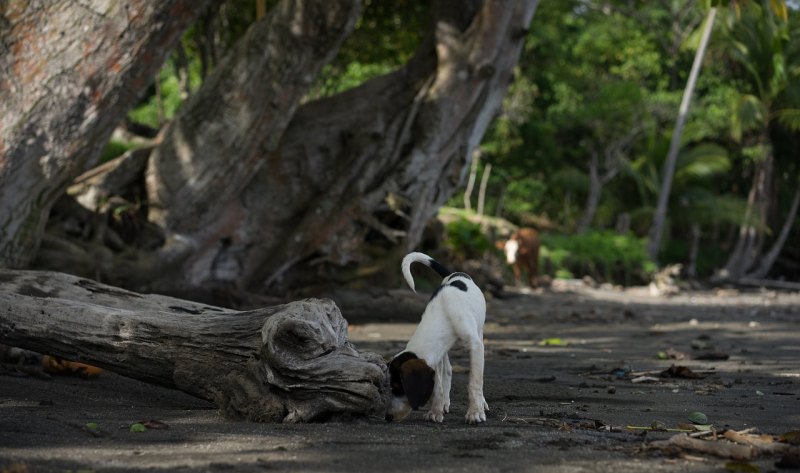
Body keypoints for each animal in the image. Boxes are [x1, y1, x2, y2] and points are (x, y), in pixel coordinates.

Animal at [386, 253, 490, 422]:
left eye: (398, 388)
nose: (388, 416)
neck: (444, 313)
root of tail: (454, 273)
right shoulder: (436, 355)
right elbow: (438, 387)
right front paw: (435, 411)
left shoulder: (475, 346)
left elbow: (475, 382)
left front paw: (475, 412)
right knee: (447, 370)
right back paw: (445, 403)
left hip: (479, 332)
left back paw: (482, 403)